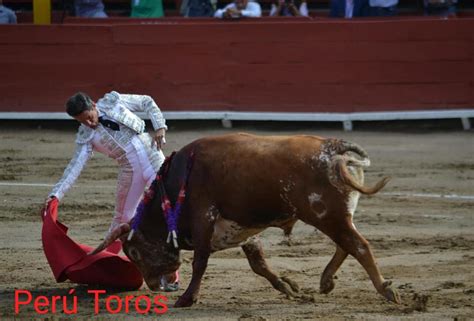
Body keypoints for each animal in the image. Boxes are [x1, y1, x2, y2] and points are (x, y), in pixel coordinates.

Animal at [90, 132, 400, 304]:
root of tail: (334, 146)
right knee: (345, 244)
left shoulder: (204, 217)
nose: (153, 286)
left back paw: (385, 290)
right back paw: (326, 282)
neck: (176, 182)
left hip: (327, 216)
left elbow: (200, 262)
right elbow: (259, 264)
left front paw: (187, 298)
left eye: (133, 252)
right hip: (336, 215)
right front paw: (289, 288)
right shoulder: (243, 230)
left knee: (358, 246)